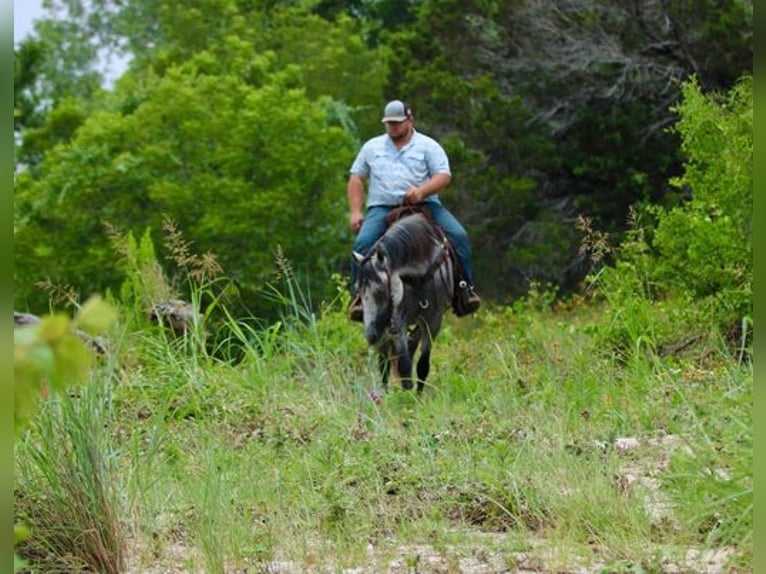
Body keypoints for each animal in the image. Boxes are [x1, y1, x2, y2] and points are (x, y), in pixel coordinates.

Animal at [352, 211, 455, 393]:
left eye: (380, 290)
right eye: (359, 292)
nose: (371, 336)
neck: (418, 279)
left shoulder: (434, 320)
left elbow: (422, 365)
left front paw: (417, 396)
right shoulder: (397, 322)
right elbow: (403, 365)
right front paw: (406, 395)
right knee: (384, 363)